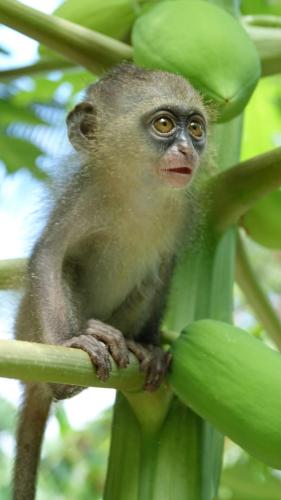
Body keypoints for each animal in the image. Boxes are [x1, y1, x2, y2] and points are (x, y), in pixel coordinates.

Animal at [12, 63, 208, 500]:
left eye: (196, 128)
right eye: (164, 124)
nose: (187, 150)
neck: (141, 192)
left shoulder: (181, 211)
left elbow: (165, 269)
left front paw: (150, 346)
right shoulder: (84, 196)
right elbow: (50, 257)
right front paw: (75, 342)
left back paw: (133, 344)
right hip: (32, 327)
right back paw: (83, 350)